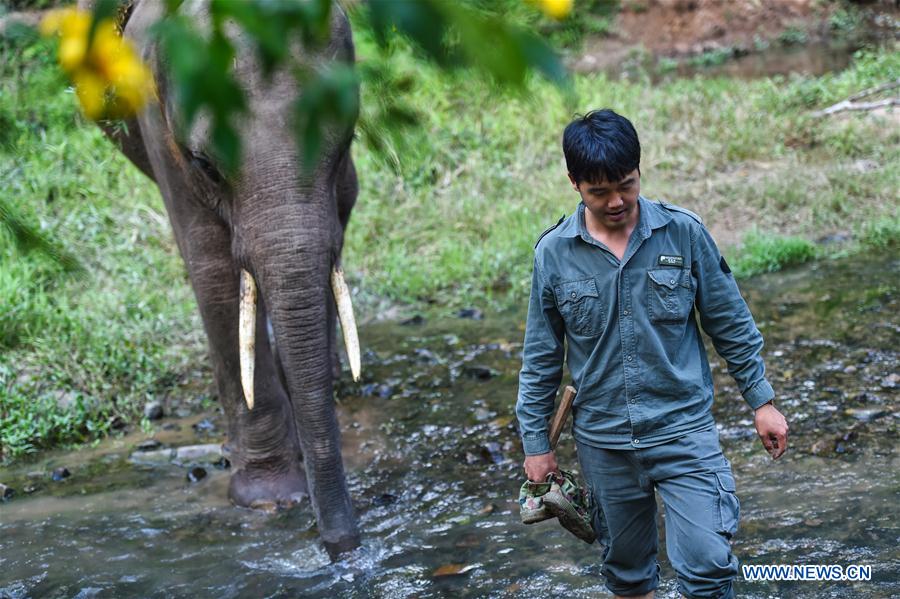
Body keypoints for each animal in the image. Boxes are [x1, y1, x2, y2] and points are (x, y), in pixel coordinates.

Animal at [78, 0, 363, 557]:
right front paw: (271, 498)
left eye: (344, 141)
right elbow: (212, 269)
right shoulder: (160, 128)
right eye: (206, 165)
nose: (342, 545)